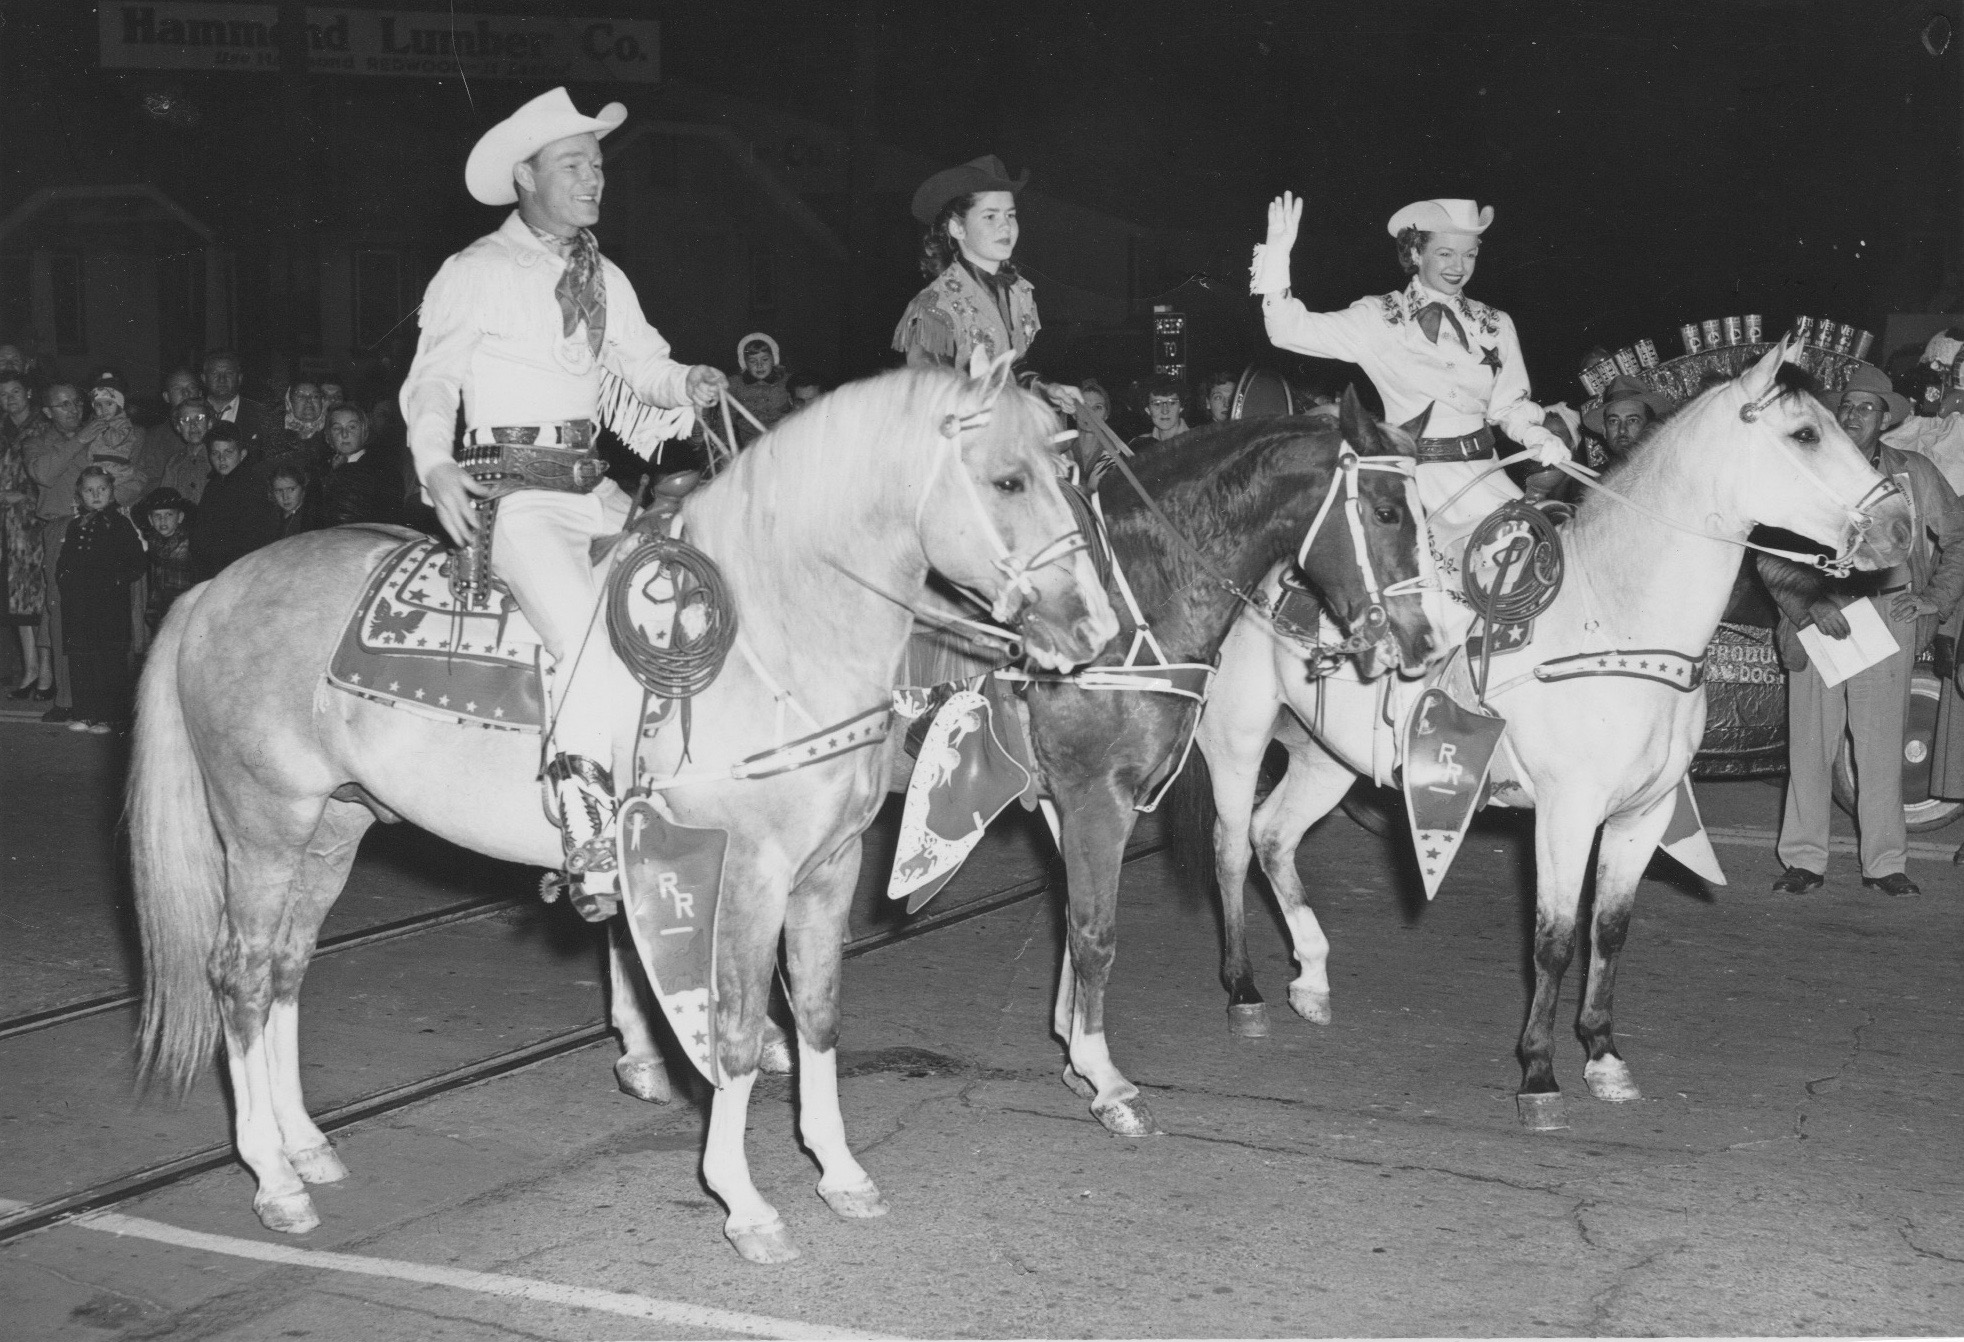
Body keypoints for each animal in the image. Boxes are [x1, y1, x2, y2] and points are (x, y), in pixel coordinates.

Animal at [130, 357, 1123, 1257]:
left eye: (1070, 474)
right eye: (1008, 479)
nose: (1097, 629)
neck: (775, 634)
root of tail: (214, 588)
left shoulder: (828, 870)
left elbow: (817, 1014)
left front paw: (840, 1173)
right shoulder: (744, 875)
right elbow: (731, 1029)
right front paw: (746, 1204)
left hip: (331, 831)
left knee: (285, 970)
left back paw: (306, 1146)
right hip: (263, 830)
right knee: (239, 977)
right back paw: (274, 1179)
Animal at [604, 385, 1437, 1131]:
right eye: (1387, 510)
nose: (1423, 639)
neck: (1134, 597)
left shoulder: (1077, 798)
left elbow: (1073, 914)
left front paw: (1075, 1050)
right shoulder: (1096, 795)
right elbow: (1096, 931)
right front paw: (1106, 1079)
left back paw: (653, 1053)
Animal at [1170, 341, 1909, 1131]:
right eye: (1805, 433)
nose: (1901, 526)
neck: (1615, 616)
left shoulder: (1642, 814)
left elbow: (1608, 931)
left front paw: (1605, 1058)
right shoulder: (1566, 812)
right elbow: (1553, 941)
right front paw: (1539, 1076)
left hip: (1327, 757)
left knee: (1274, 835)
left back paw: (1311, 979)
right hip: (1238, 740)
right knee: (1231, 846)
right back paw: (1244, 992)